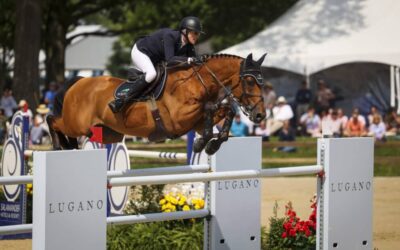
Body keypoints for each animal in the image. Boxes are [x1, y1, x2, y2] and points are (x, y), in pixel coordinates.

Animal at [47, 52, 266, 154]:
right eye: (249, 81)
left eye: (262, 82)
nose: (260, 115)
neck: (198, 81)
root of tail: (79, 81)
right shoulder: (179, 119)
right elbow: (210, 107)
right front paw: (201, 143)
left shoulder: (195, 122)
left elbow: (227, 110)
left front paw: (213, 144)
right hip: (76, 124)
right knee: (52, 119)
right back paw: (58, 147)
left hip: (106, 132)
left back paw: (69, 147)